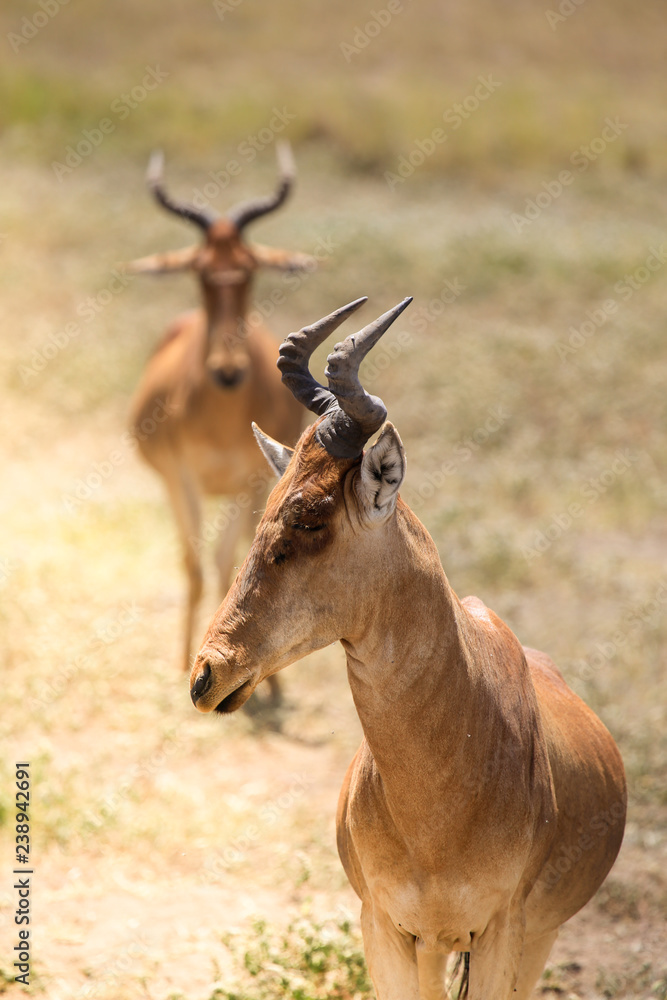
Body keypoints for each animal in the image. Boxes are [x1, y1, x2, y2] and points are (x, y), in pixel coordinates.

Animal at [128, 142, 313, 685]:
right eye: (200, 269)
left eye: (249, 268)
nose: (227, 371)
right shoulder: (181, 477)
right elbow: (194, 565)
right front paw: (183, 661)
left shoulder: (253, 482)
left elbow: (233, 560)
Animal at [189, 297, 627, 999]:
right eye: (271, 506)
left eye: (311, 515)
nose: (208, 675)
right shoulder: (386, 927)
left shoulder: (500, 934)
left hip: (530, 939)